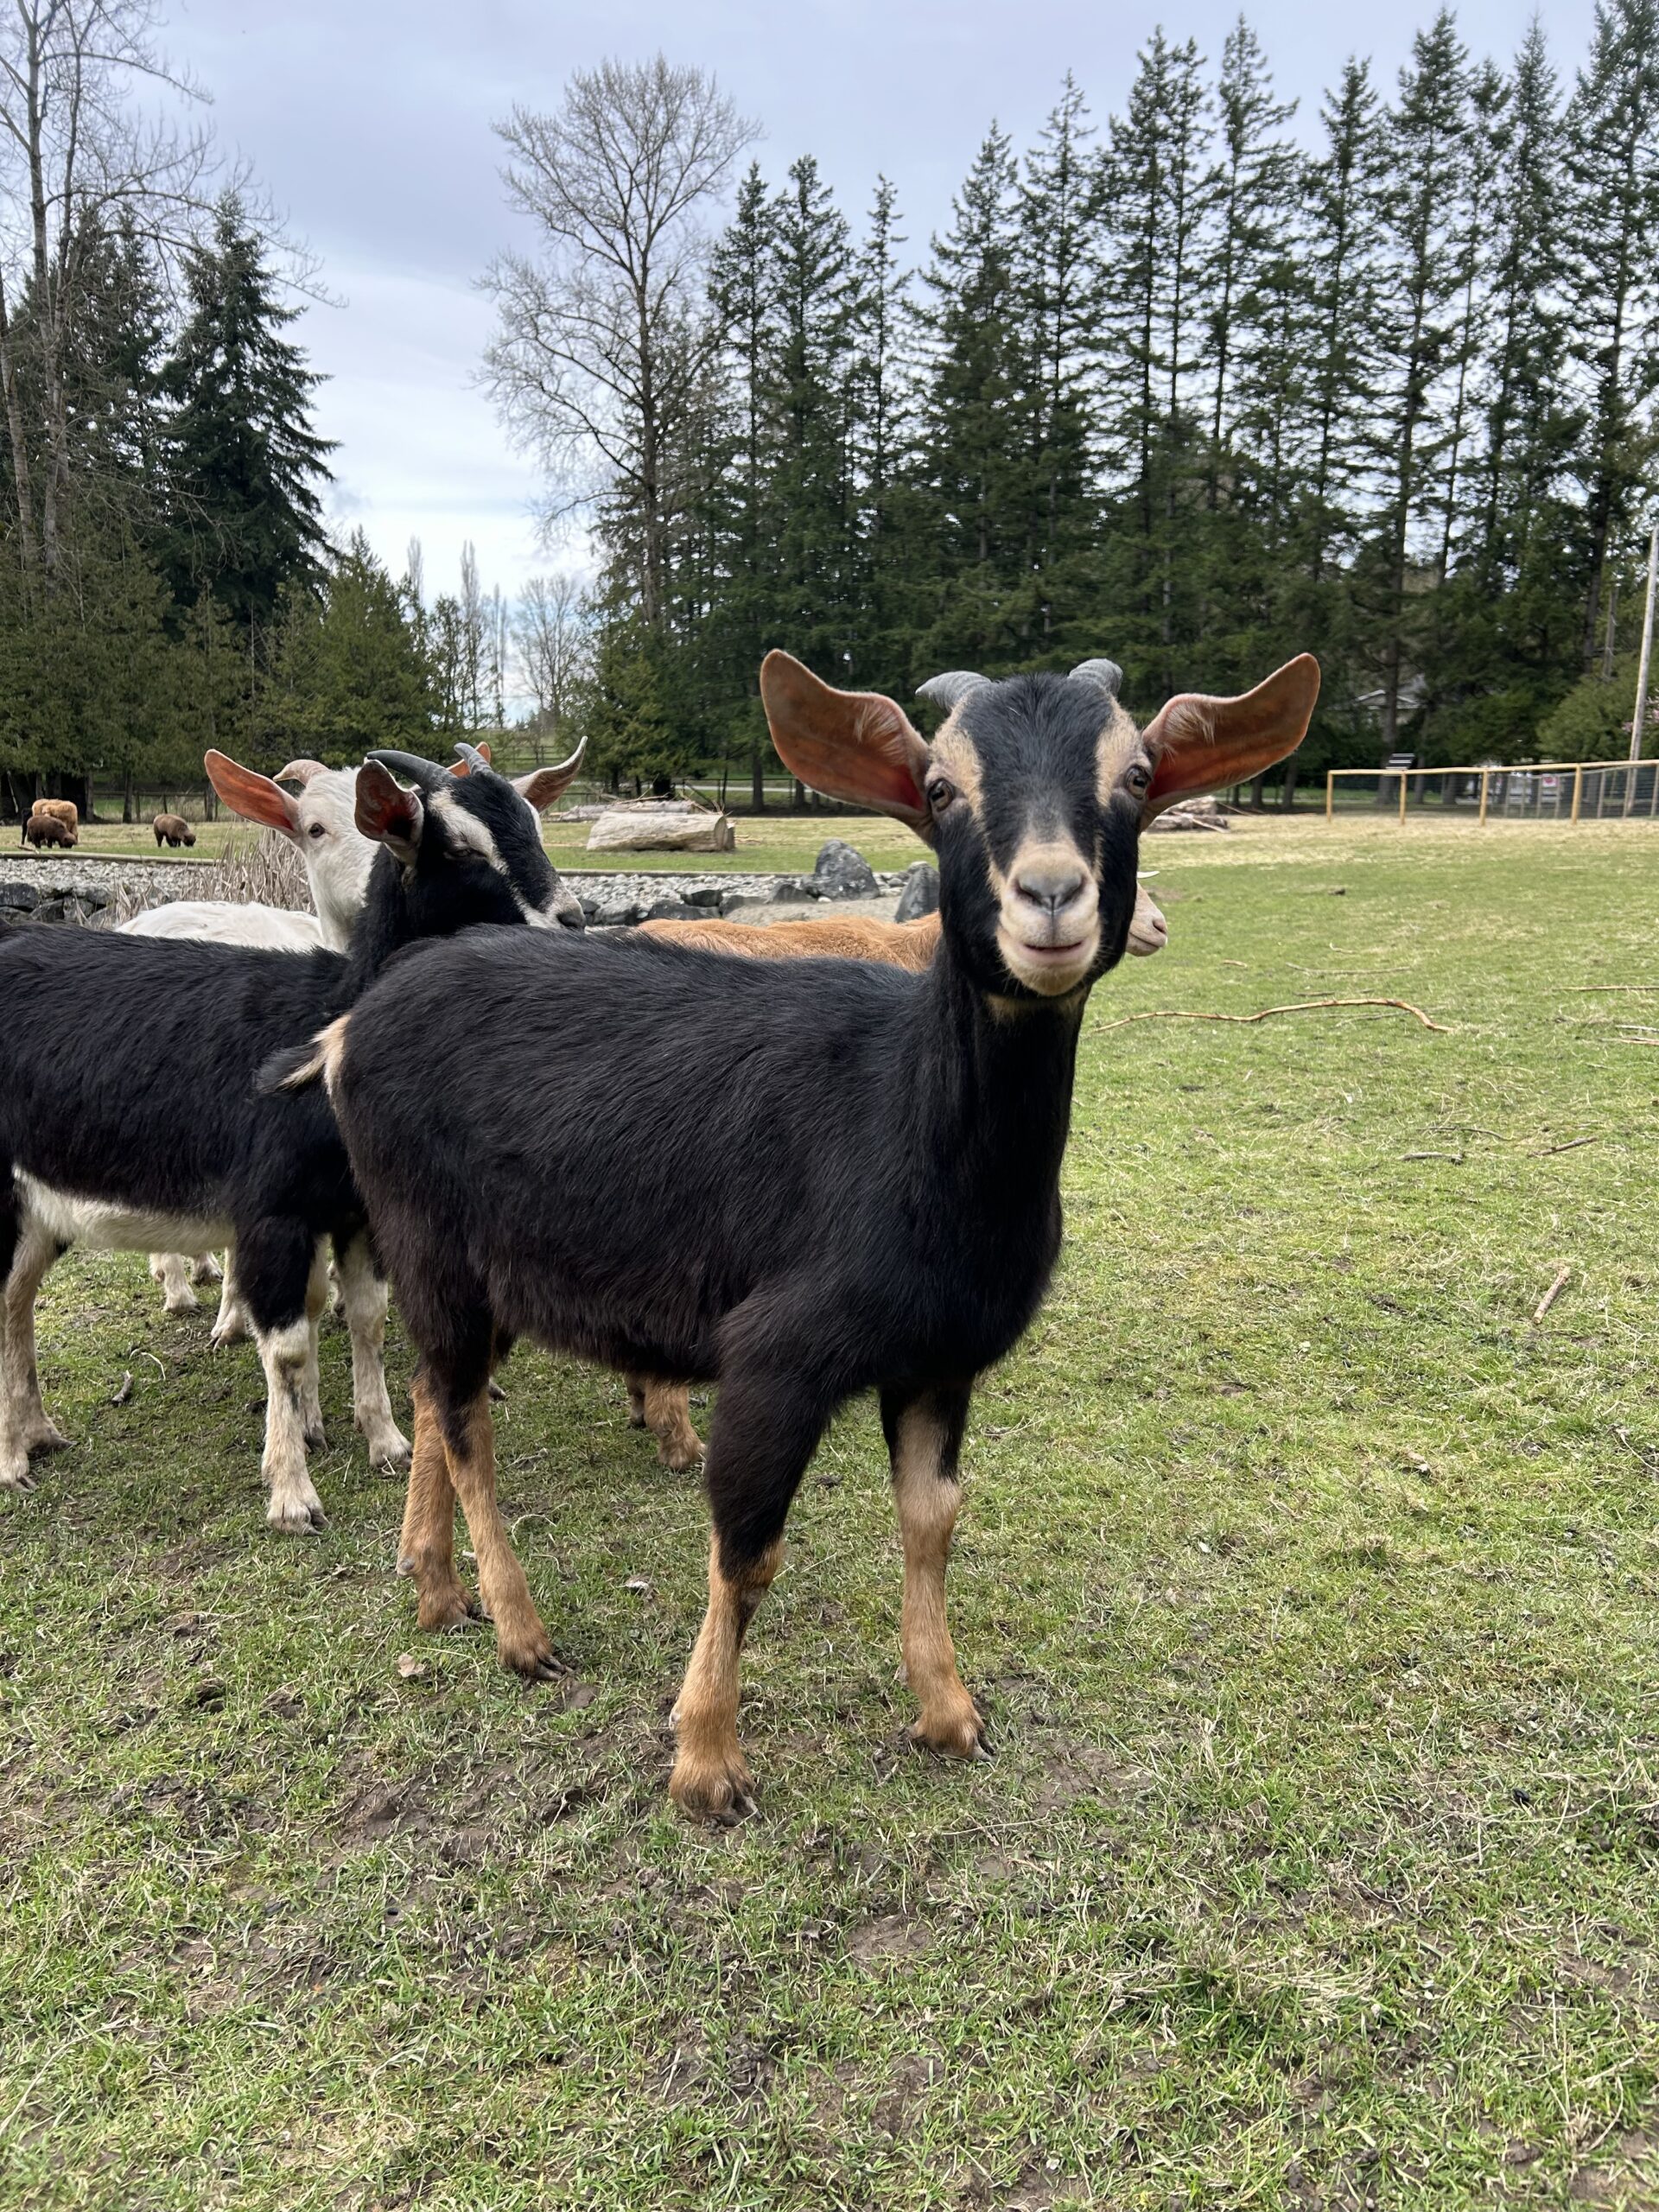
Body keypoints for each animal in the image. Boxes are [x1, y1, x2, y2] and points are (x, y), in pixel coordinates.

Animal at [0, 742, 586, 1533]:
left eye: (535, 822)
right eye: (462, 847)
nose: (572, 919)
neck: (326, 1022)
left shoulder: (359, 1213)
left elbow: (367, 1318)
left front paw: (386, 1442)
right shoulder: (272, 1214)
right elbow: (284, 1348)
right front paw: (291, 1493)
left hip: (38, 1207)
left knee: (14, 1304)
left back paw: (36, 1434)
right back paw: (11, 1461)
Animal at [312, 651, 1317, 1816]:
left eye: (1139, 773)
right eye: (941, 787)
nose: (1052, 897)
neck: (908, 1130)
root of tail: (356, 1023)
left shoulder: (940, 1360)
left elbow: (933, 1519)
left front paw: (949, 1711)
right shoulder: (775, 1355)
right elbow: (747, 1550)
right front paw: (706, 1761)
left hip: (487, 1273)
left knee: (440, 1394)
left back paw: (437, 1589)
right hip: (429, 1239)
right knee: (467, 1420)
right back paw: (521, 1632)